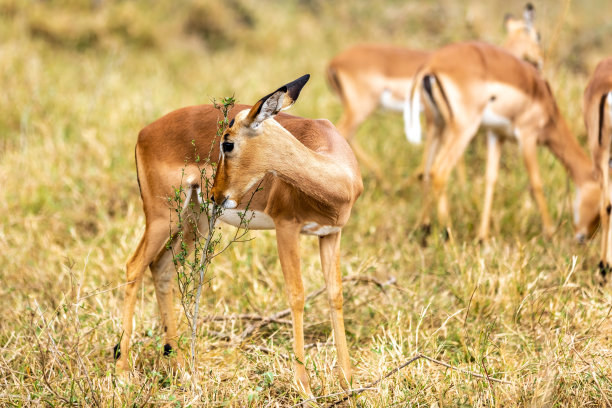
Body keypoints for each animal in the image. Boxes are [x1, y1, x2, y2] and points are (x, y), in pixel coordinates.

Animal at [115, 75, 364, 394]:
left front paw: (348, 382)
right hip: (162, 216)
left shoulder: (331, 234)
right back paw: (123, 372)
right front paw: (304, 387)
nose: (216, 193)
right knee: (134, 265)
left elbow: (335, 295)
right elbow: (296, 295)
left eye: (228, 143)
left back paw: (181, 369)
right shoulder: (286, 227)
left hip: (196, 219)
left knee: (161, 267)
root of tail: (144, 132)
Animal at [404, 42, 600, 242]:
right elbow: (536, 182)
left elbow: (491, 179)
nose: (585, 237)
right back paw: (448, 233)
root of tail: (432, 66)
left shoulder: (496, 135)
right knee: (439, 171)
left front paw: (483, 236)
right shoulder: (527, 136)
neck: (547, 105)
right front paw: (551, 232)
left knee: (425, 171)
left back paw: (424, 227)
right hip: (463, 129)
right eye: (601, 204)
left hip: (436, 125)